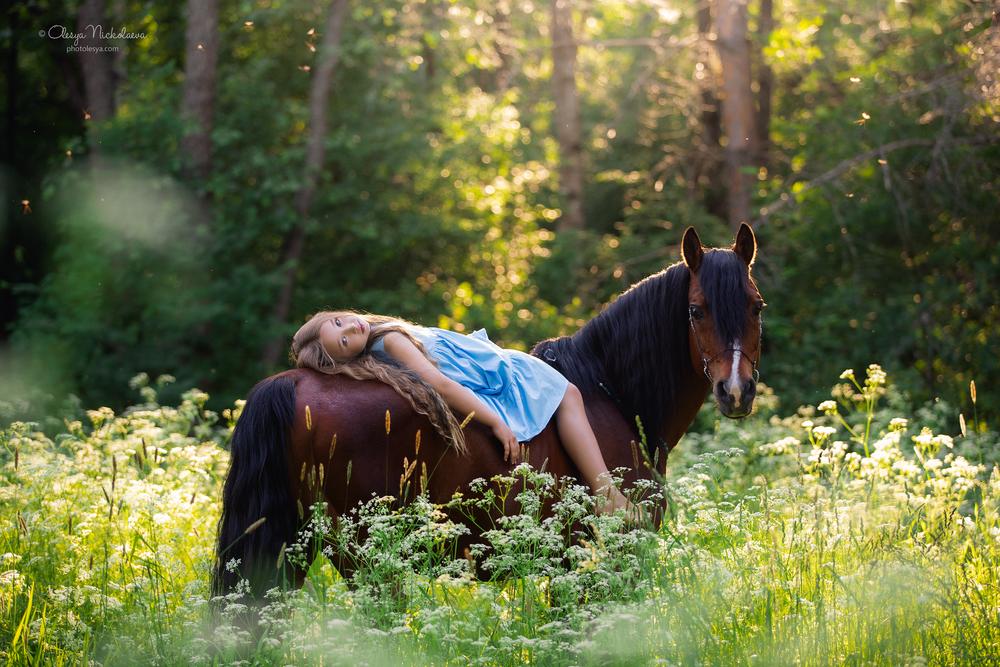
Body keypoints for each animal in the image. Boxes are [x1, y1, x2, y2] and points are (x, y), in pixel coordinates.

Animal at [213, 223, 765, 596]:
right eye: (695, 310)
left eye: (756, 305)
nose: (735, 390)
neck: (613, 394)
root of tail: (287, 382)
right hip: (365, 561)